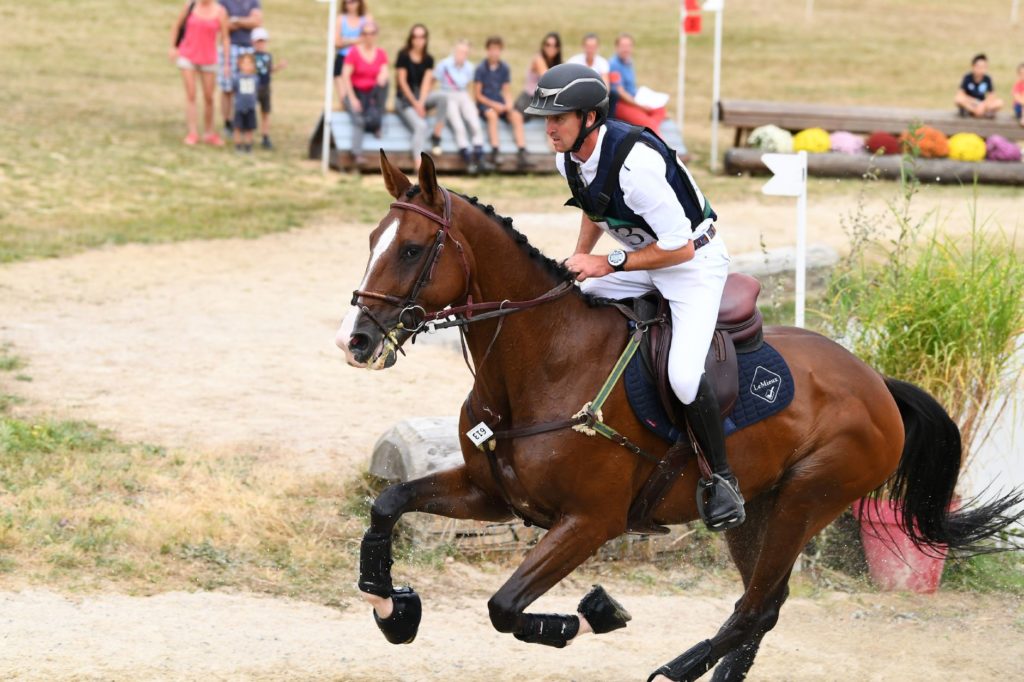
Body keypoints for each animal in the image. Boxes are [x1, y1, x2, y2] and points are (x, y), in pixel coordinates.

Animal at [337, 150, 1024, 679]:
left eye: (413, 251)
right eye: (370, 242)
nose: (357, 341)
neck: (543, 363)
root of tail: (876, 382)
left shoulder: (591, 521)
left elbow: (504, 606)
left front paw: (583, 616)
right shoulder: (493, 494)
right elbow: (388, 503)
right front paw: (393, 608)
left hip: (808, 497)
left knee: (756, 607)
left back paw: (677, 669)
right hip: (760, 510)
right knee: (766, 602)